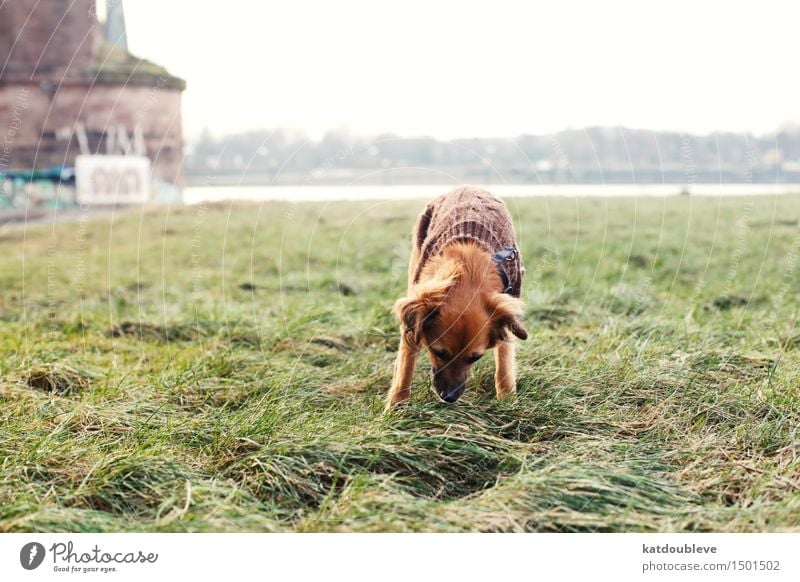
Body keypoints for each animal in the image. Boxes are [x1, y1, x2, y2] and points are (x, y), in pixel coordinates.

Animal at [386, 187, 524, 410]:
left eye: (475, 358)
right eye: (439, 353)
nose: (449, 397)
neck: (469, 269)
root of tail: (468, 187)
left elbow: (504, 364)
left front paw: (507, 402)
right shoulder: (413, 322)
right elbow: (405, 367)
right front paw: (395, 407)